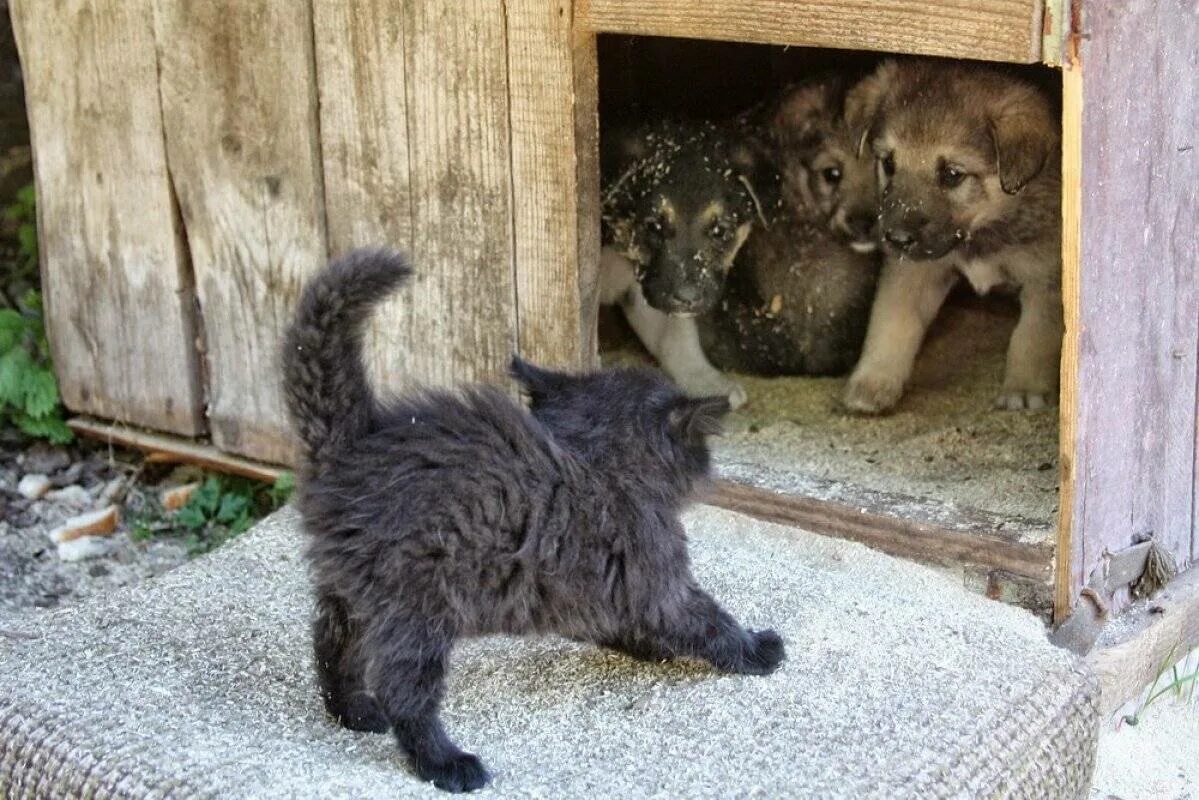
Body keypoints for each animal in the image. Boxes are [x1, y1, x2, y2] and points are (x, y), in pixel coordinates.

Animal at [281, 250, 786, 796]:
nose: (710, 463)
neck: (596, 457)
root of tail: (351, 446)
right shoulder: (658, 578)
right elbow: (708, 621)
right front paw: (756, 649)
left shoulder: (590, 588)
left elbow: (614, 619)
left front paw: (650, 647)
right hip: (418, 604)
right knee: (403, 689)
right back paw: (445, 762)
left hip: (353, 591)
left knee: (330, 645)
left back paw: (351, 711)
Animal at [839, 57, 1064, 412]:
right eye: (888, 163)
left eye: (952, 174)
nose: (896, 239)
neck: (982, 232)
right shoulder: (914, 271)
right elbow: (892, 321)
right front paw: (872, 382)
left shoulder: (1044, 280)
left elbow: (1032, 337)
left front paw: (1024, 389)